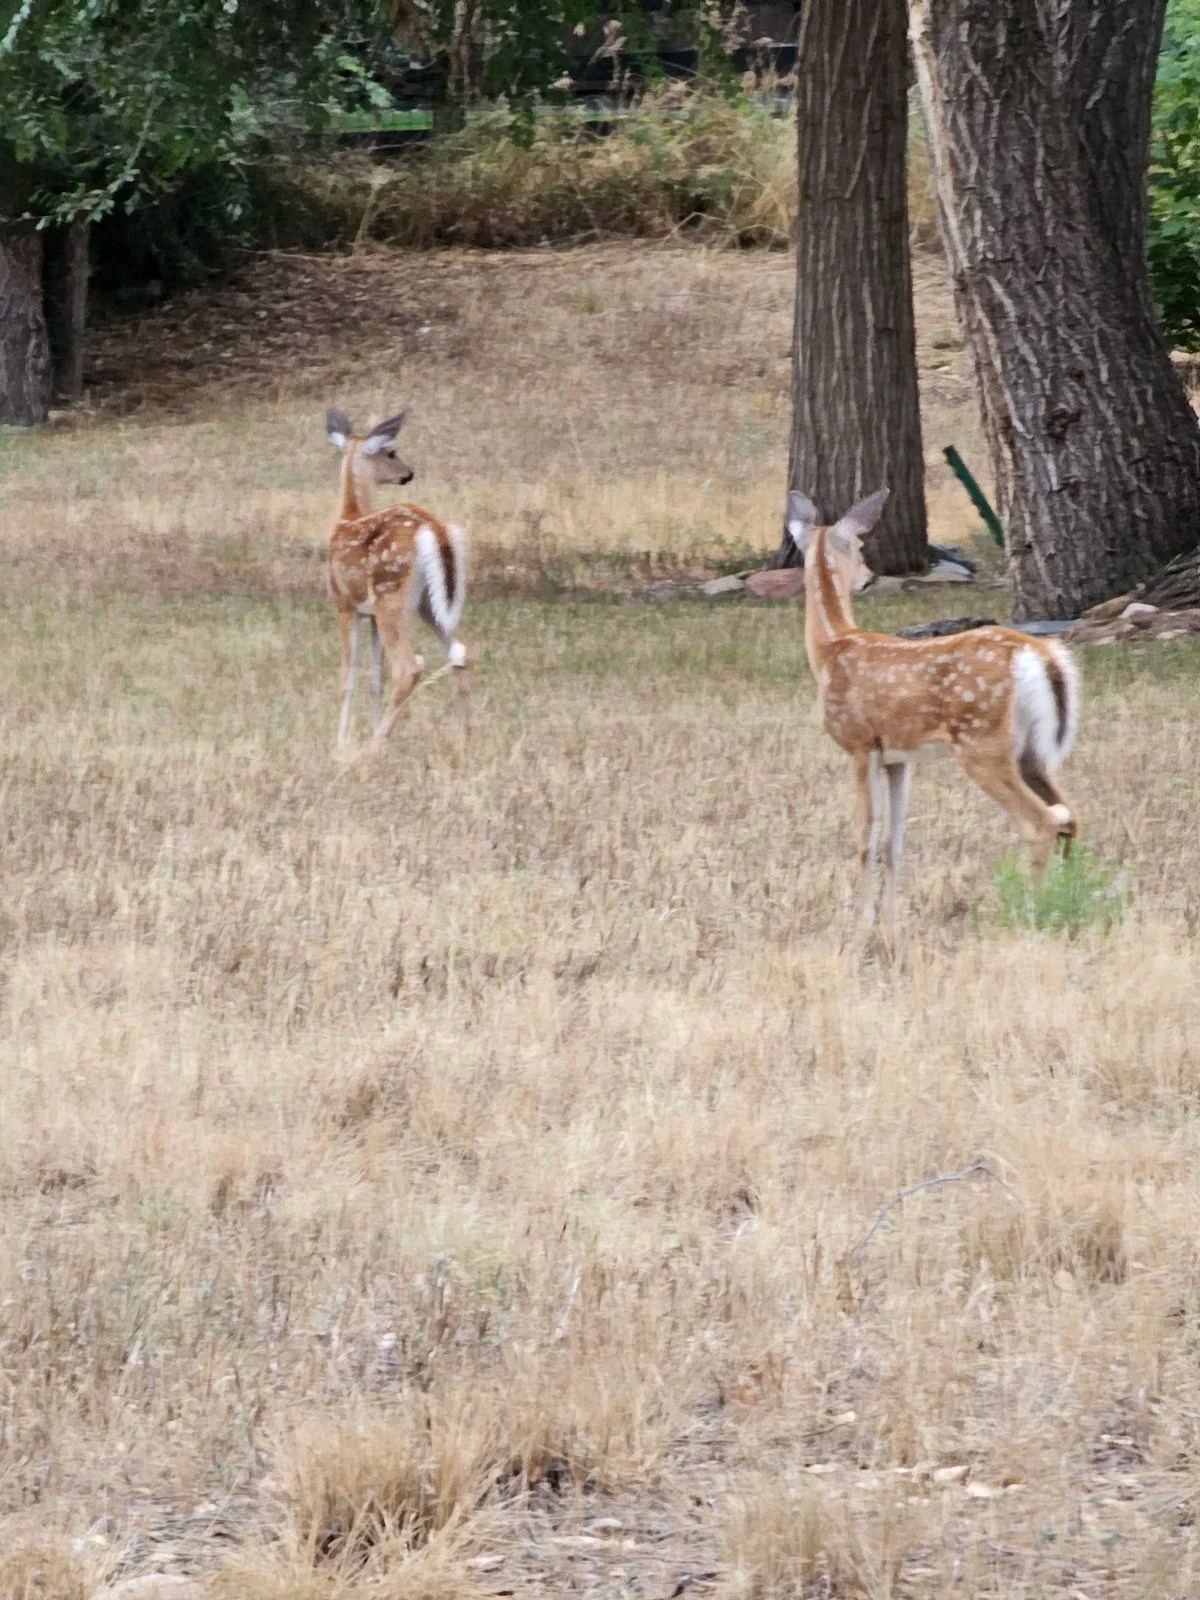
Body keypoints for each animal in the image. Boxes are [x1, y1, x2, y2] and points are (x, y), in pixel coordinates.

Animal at [325, 408, 469, 749]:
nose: (409, 473)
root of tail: (435, 528)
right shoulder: (370, 615)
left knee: (408, 666)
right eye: (391, 452)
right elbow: (376, 678)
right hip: (429, 603)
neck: (346, 517)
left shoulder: (344, 604)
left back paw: (374, 747)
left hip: (390, 594)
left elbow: (348, 677)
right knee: (459, 651)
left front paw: (340, 744)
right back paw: (466, 737)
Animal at [789, 486, 1081, 928]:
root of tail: (1040, 654)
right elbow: (893, 840)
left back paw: (1033, 912)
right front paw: (891, 923)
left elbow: (864, 834)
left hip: (982, 741)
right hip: (1032, 752)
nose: (868, 578)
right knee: (1070, 816)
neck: (829, 649)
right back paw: (1070, 897)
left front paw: (862, 922)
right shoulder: (898, 757)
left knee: (1043, 822)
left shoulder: (858, 743)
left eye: (859, 545)